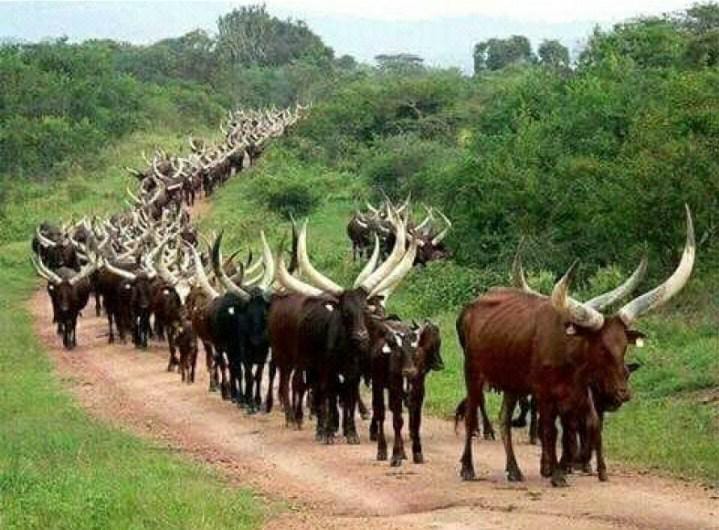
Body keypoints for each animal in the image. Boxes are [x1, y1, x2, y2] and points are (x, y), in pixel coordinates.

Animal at [455, 207, 694, 487]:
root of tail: (472, 306)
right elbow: (550, 430)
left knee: (504, 418)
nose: (623, 393)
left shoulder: (576, 395)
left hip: (511, 383)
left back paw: (514, 469)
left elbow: (577, 429)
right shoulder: (544, 393)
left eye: (624, 346)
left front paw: (570, 465)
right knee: (471, 416)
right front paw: (557, 472)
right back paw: (468, 468)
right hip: (473, 373)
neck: (569, 358)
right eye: (601, 347)